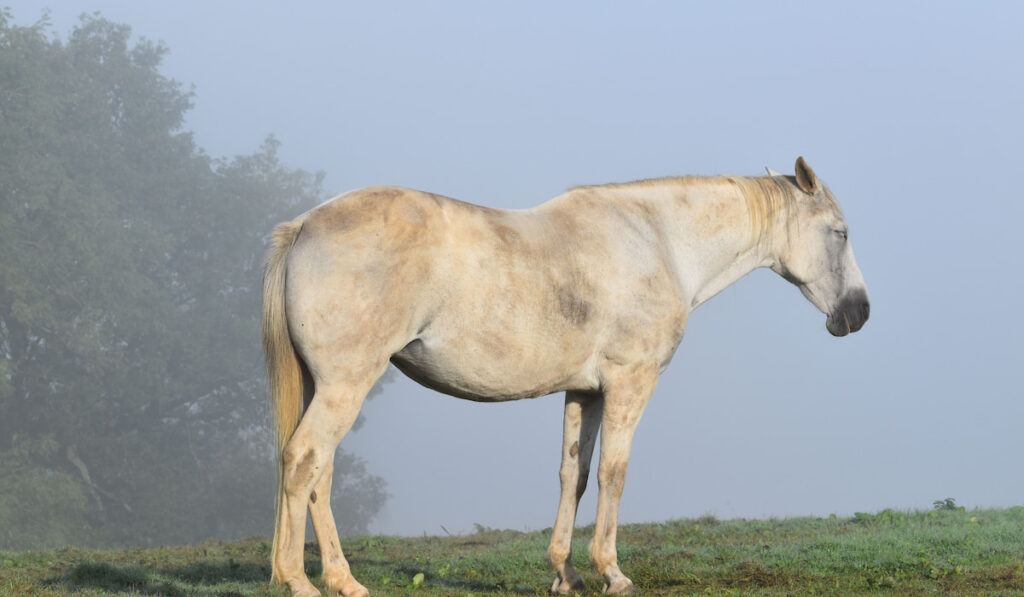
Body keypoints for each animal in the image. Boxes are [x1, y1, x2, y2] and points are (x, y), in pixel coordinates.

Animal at [260, 156, 868, 593]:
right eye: (839, 233)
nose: (858, 313)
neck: (660, 242)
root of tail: (304, 225)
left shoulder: (584, 391)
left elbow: (572, 475)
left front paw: (565, 573)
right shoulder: (629, 383)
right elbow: (613, 475)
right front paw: (612, 573)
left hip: (326, 387)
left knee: (319, 476)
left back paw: (341, 581)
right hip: (345, 385)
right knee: (304, 462)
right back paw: (301, 581)